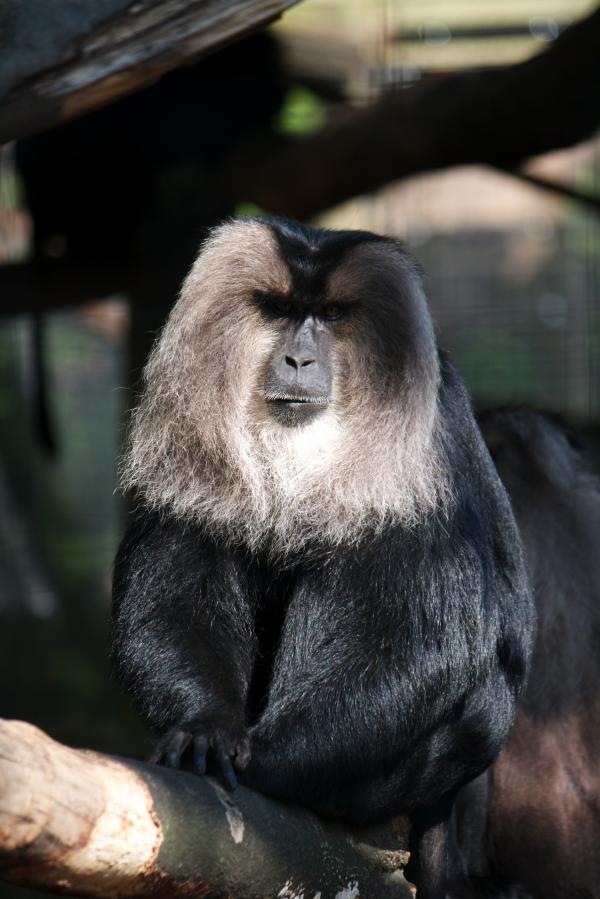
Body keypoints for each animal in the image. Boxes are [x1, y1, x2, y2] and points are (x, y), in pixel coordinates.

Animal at [111, 217, 534, 899]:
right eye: (281, 311)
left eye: (333, 316)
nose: (299, 358)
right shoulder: (186, 466)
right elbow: (169, 597)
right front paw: (206, 730)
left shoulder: (428, 450)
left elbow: (423, 637)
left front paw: (267, 762)